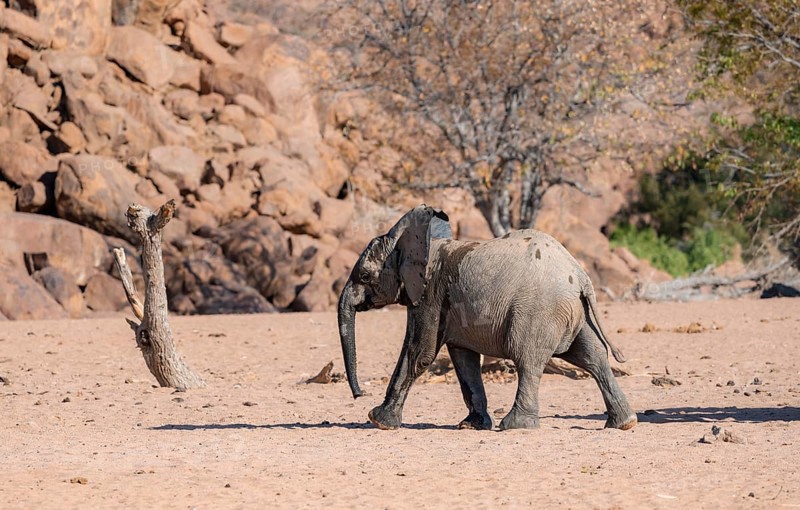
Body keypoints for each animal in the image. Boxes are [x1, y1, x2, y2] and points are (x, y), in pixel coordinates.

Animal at [337, 205, 637, 431]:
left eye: (365, 275)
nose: (359, 394)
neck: (422, 243)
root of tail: (581, 276)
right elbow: (463, 359)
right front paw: (471, 425)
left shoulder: (430, 294)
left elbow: (419, 353)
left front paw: (378, 420)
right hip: (575, 313)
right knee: (592, 357)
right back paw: (623, 423)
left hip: (540, 311)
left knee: (527, 359)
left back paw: (515, 426)